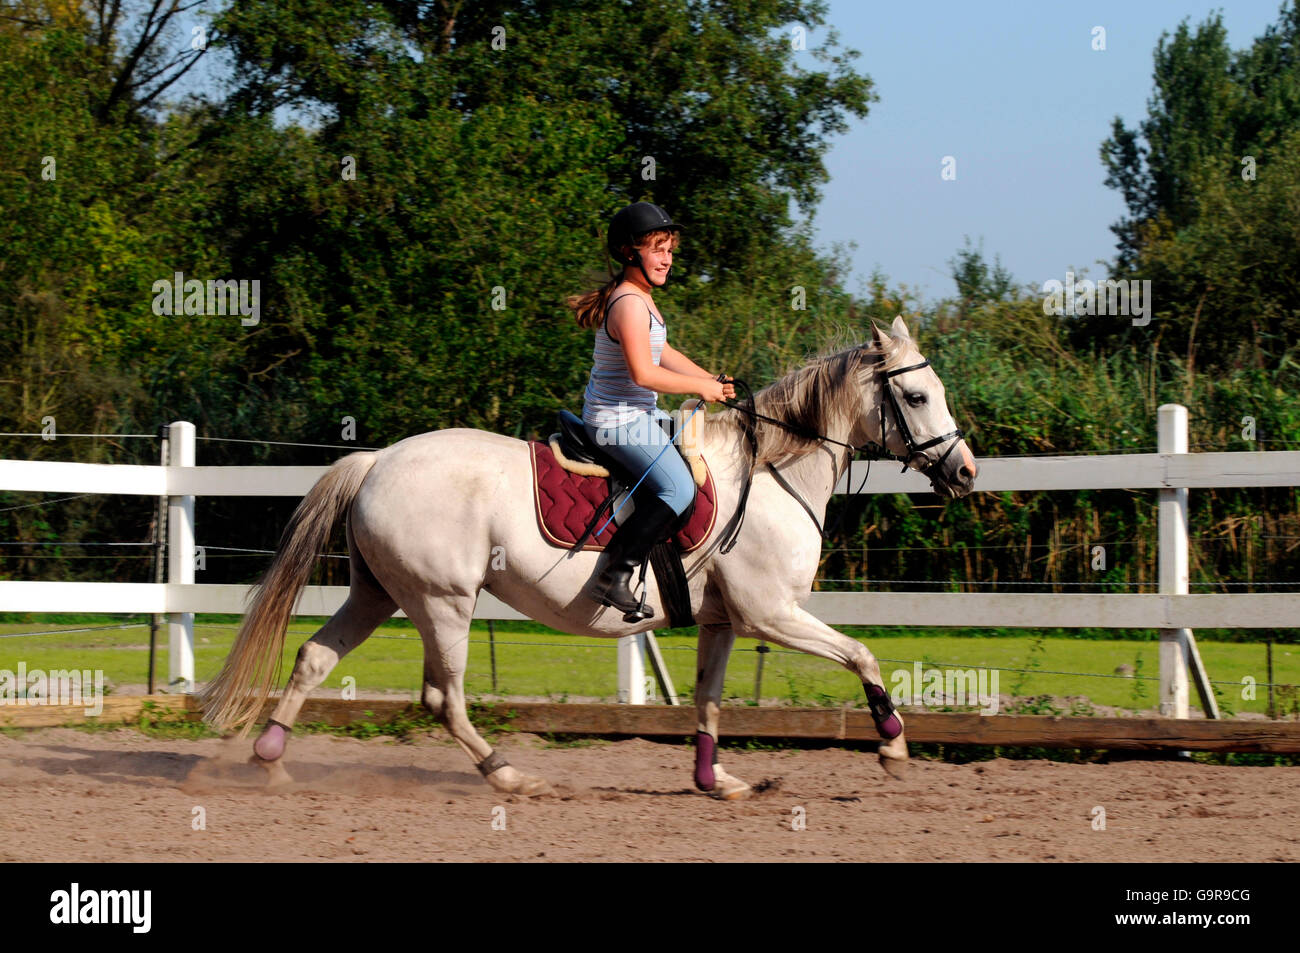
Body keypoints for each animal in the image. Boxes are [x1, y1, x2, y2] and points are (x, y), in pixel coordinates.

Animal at [202, 317, 977, 795]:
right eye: (915, 395)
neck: (773, 473)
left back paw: (269, 762)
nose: (966, 471)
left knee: (314, 657)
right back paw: (509, 776)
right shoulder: (771, 613)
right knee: (443, 699)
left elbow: (708, 699)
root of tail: (377, 461)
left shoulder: (724, 621)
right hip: (441, 603)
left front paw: (716, 781)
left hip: (380, 592)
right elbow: (862, 653)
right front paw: (893, 745)